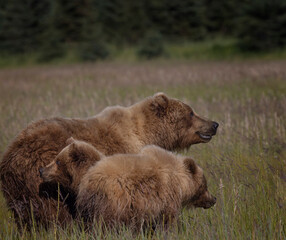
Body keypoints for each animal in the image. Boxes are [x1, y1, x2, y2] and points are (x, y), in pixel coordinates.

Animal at [41, 140, 216, 232]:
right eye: (205, 184)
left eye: (57, 161)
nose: (213, 198)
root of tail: (91, 181)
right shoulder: (165, 199)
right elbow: (167, 221)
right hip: (111, 203)